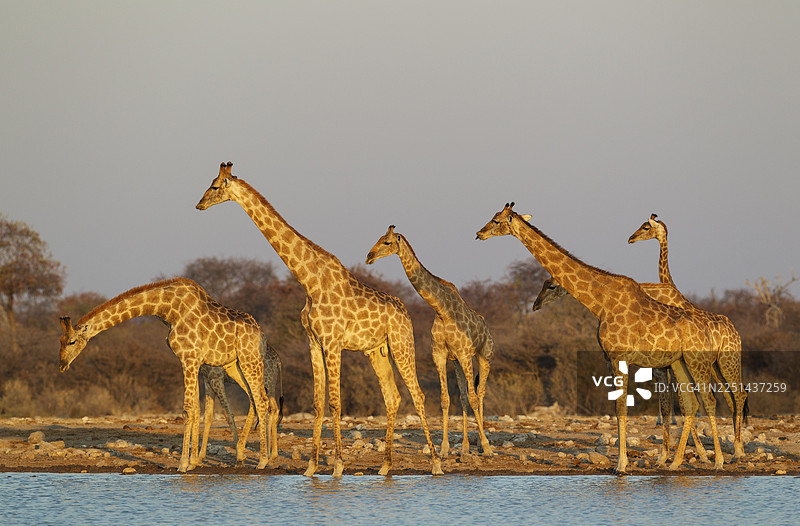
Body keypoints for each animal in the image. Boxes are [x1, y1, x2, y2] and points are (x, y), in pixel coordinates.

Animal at [59, 278, 280, 472]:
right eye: (60, 341)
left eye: (71, 341)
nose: (62, 365)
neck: (167, 309)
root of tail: (262, 335)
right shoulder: (193, 362)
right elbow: (196, 410)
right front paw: (192, 463)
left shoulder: (189, 358)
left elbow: (188, 410)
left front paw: (182, 464)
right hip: (235, 365)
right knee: (255, 398)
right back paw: (249, 456)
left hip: (249, 359)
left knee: (262, 401)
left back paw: (262, 461)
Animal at [196, 162, 443, 477]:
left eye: (215, 186)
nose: (199, 204)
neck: (309, 281)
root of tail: (406, 314)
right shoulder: (313, 342)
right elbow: (317, 402)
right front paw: (311, 466)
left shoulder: (333, 342)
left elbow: (336, 402)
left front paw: (337, 465)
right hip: (377, 351)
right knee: (393, 397)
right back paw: (385, 466)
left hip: (402, 345)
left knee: (418, 395)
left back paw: (436, 464)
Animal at [366, 225, 494, 458]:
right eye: (378, 239)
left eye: (387, 242)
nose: (369, 256)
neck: (441, 309)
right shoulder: (440, 355)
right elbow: (446, 400)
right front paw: (443, 449)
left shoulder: (464, 353)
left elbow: (473, 398)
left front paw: (487, 446)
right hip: (458, 363)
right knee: (464, 396)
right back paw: (465, 447)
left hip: (484, 356)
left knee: (479, 394)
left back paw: (483, 445)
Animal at [476, 203, 724, 472]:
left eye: (496, 220)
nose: (479, 233)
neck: (601, 303)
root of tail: (706, 330)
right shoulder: (608, 358)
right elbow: (616, 406)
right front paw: (621, 461)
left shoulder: (619, 357)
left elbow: (621, 406)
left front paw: (621, 465)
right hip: (679, 361)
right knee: (691, 402)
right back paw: (675, 463)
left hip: (697, 361)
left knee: (709, 399)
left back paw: (718, 462)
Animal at [628, 213, 747, 462]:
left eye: (646, 227)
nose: (630, 238)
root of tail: (736, 332)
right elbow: (682, 403)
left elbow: (684, 403)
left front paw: (692, 454)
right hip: (717, 366)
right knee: (731, 397)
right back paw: (737, 449)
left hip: (728, 362)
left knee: (739, 394)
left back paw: (737, 452)